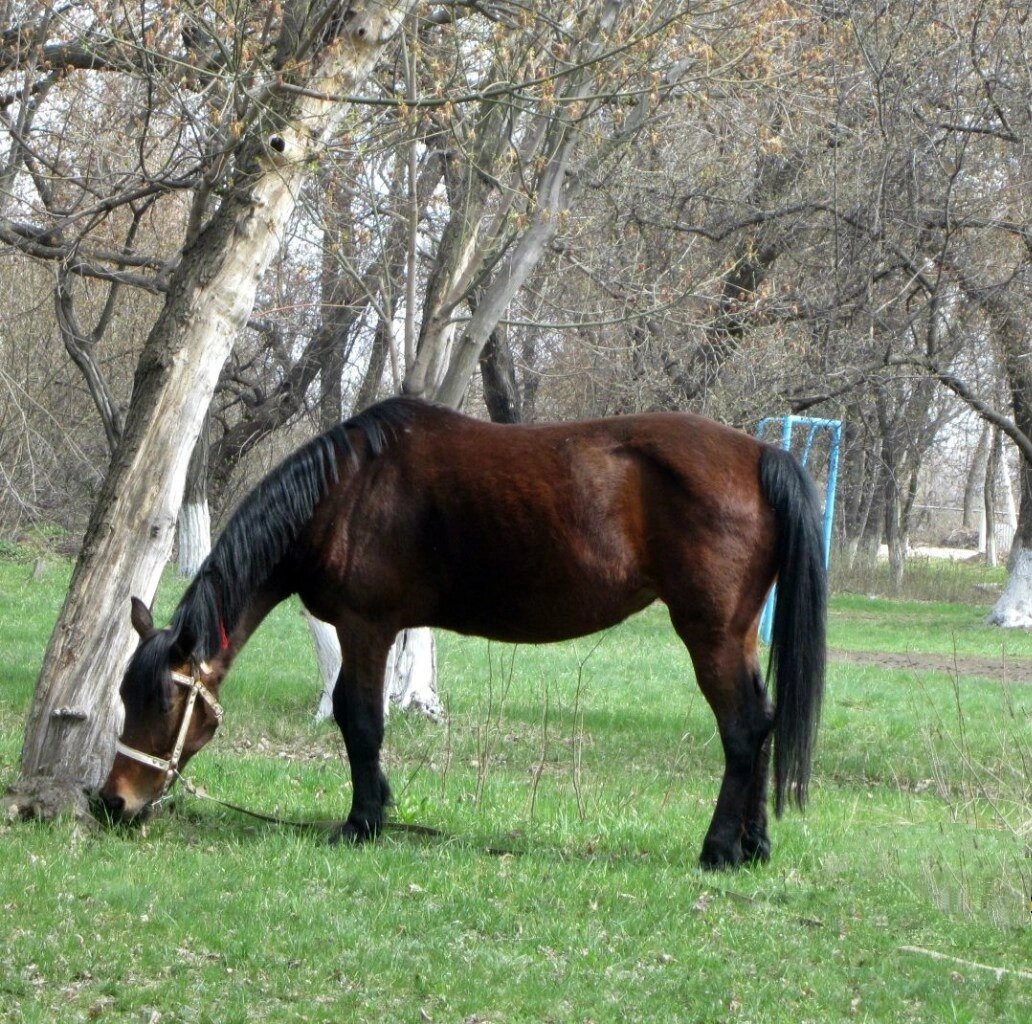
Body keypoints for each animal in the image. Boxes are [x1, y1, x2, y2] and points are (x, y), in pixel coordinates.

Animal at [98, 396, 821, 867]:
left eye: (164, 701)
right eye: (125, 696)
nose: (112, 803)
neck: (347, 490)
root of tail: (762, 453)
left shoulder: (365, 626)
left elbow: (359, 720)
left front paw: (363, 822)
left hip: (710, 634)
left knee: (742, 729)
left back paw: (719, 849)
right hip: (737, 634)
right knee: (762, 721)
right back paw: (754, 845)